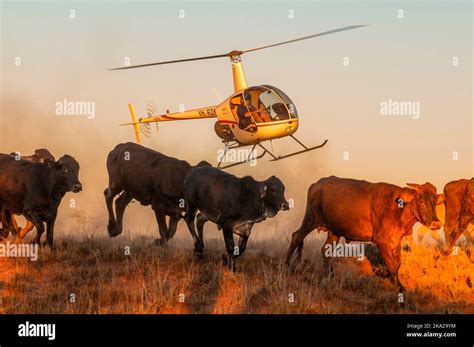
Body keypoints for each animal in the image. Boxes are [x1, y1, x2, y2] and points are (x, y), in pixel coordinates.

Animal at [286, 175, 444, 292]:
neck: (399, 208)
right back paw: (286, 266)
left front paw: (384, 274)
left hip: (334, 231)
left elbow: (397, 264)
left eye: (435, 201)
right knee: (296, 237)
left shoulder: (396, 241)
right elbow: (392, 265)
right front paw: (400, 288)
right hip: (311, 218)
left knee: (325, 251)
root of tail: (317, 183)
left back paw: (328, 276)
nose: (436, 223)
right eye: (421, 201)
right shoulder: (381, 241)